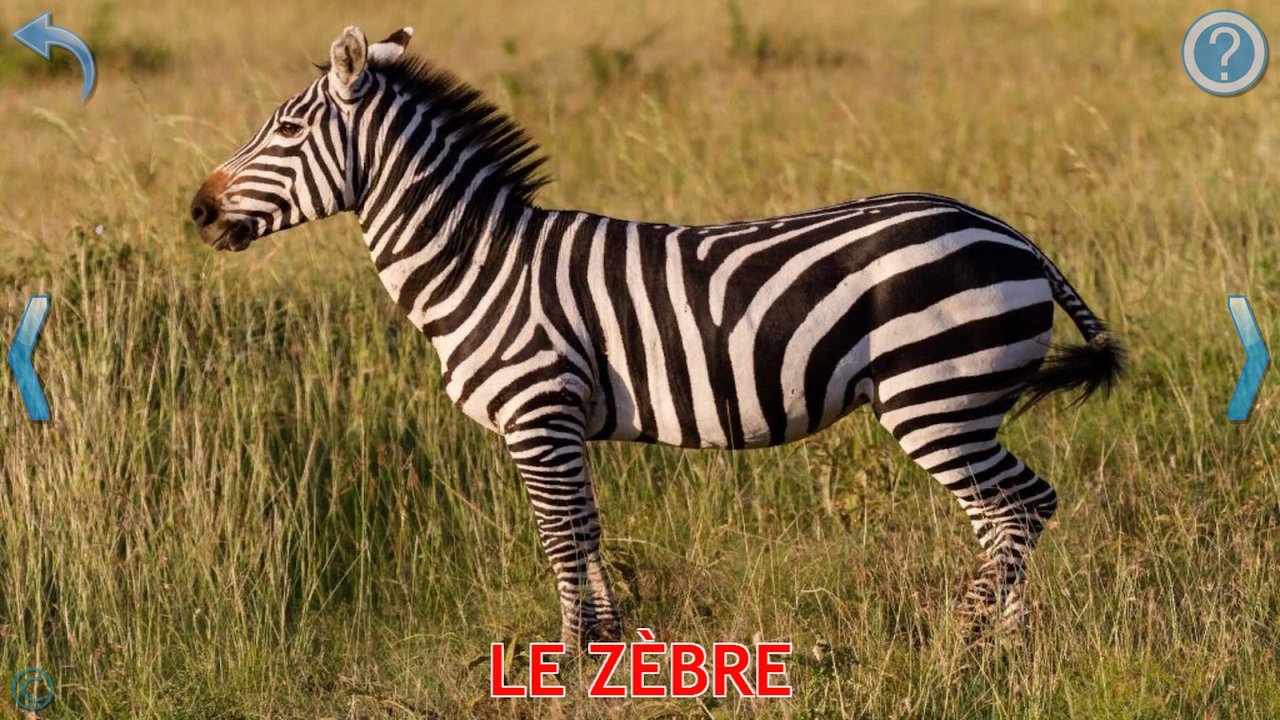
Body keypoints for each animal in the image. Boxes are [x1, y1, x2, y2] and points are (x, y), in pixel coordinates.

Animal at [191, 25, 1123, 646]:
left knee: (1022, 507)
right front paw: (607, 648)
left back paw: (966, 641)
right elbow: (590, 533)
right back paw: (1006, 650)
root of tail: (1006, 229)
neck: (479, 260)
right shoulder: (565, 424)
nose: (197, 208)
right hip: (958, 406)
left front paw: (566, 664)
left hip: (937, 398)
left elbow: (561, 541)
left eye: (284, 130)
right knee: (1004, 519)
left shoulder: (538, 416)